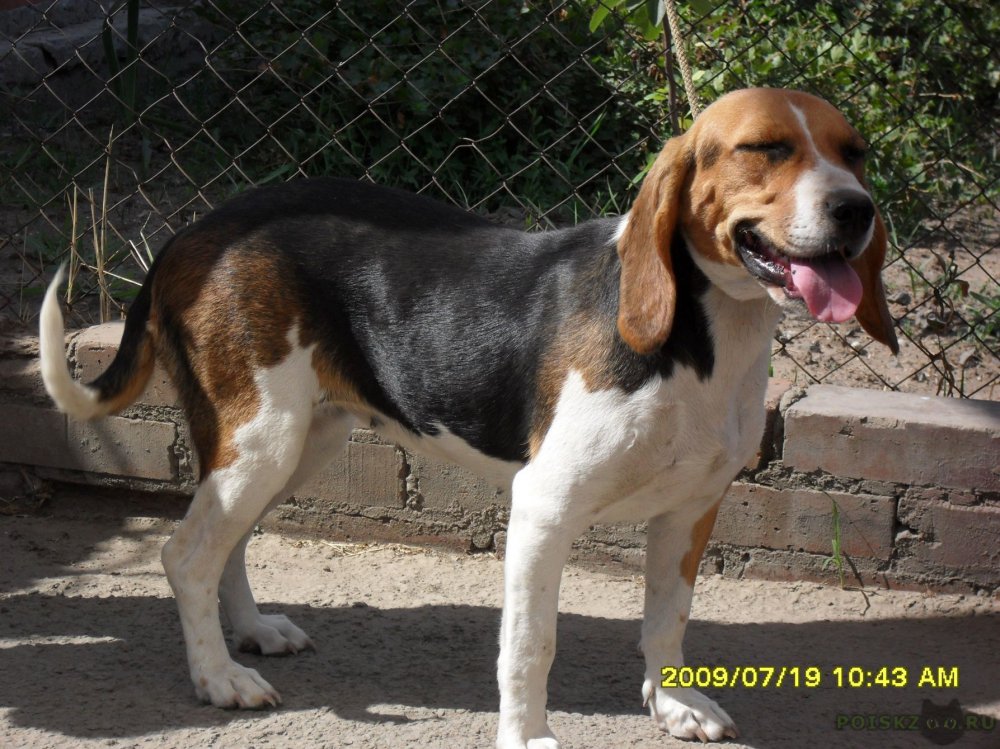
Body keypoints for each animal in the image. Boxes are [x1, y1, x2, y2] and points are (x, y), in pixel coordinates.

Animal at [39, 88, 897, 747]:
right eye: (765, 148)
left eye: (854, 152)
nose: (856, 210)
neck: (704, 335)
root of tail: (193, 230)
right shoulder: (543, 507)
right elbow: (529, 644)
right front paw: (528, 736)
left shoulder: (692, 509)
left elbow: (668, 617)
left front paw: (674, 703)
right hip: (262, 439)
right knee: (185, 553)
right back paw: (219, 674)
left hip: (297, 439)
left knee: (227, 542)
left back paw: (250, 630)